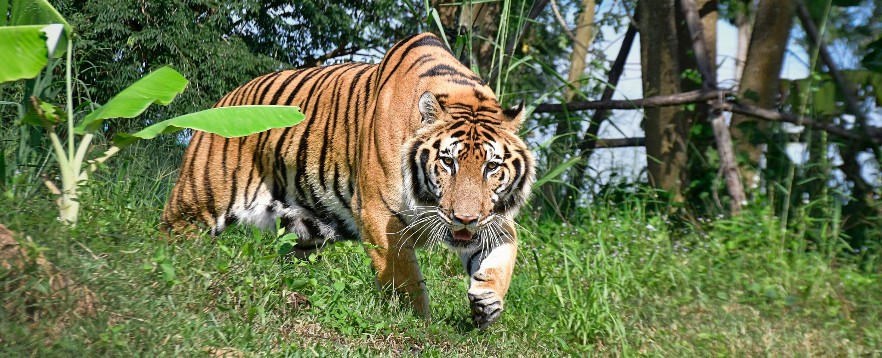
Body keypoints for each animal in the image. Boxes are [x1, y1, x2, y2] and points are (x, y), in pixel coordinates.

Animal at [163, 32, 536, 328]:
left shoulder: (492, 218)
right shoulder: (378, 215)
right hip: (198, 200)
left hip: (305, 226)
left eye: (492, 167)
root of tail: (225, 97)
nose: (465, 219)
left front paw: (487, 302)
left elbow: (503, 256)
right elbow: (404, 278)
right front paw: (418, 324)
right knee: (173, 232)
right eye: (448, 162)